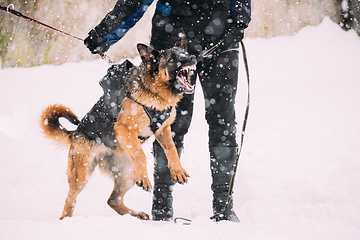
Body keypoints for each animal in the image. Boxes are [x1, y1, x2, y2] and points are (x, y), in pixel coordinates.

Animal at [40, 36, 197, 220]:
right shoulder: (124, 128)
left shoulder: (162, 130)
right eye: (172, 59)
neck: (154, 92)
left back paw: (135, 214)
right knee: (70, 198)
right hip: (82, 174)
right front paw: (147, 177)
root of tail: (76, 132)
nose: (194, 57)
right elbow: (141, 154)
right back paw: (66, 220)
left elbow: (171, 148)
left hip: (128, 173)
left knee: (113, 200)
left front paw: (177, 170)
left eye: (185, 53)